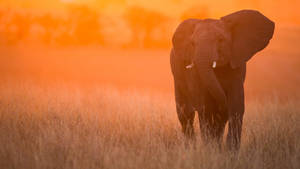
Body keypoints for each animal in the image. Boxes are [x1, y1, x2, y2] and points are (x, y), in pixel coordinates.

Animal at [169, 9, 274, 149]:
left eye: (221, 40)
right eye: (192, 44)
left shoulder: (237, 66)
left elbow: (236, 106)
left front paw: (230, 151)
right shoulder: (194, 71)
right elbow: (205, 107)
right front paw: (210, 149)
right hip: (177, 77)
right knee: (186, 114)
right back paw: (191, 147)